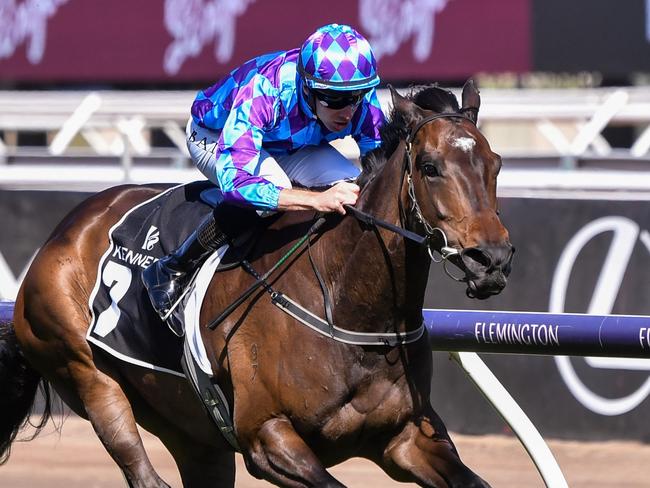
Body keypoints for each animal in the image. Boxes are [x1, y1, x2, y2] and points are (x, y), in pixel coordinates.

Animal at [3, 82, 512, 486]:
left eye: (496, 162)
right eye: (429, 166)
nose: (491, 259)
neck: (350, 307)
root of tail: (64, 231)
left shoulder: (405, 437)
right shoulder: (267, 436)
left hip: (193, 433)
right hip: (88, 375)